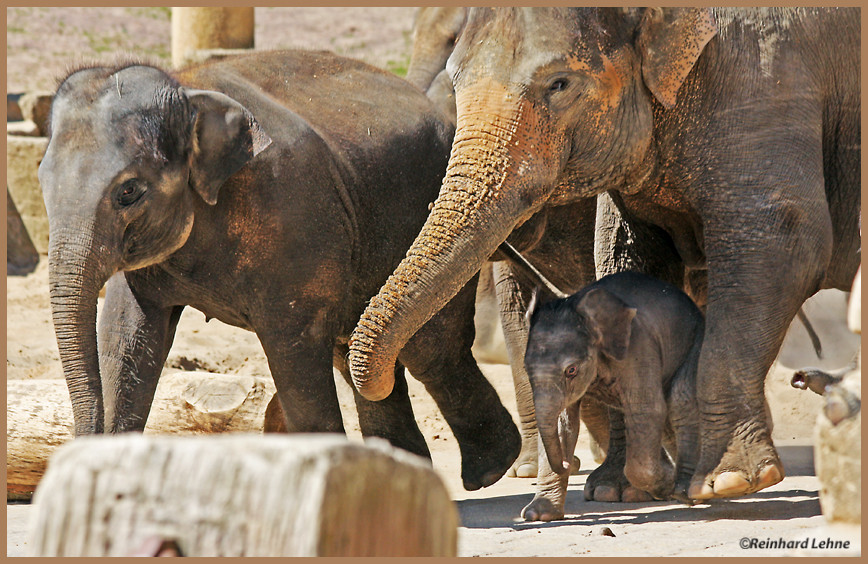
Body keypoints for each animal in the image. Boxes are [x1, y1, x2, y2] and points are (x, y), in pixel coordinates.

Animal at [39, 50, 516, 492]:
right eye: (42, 181)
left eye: (129, 192)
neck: (188, 89)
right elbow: (127, 335)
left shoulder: (292, 215)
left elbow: (294, 347)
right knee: (359, 348)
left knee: (428, 348)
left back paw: (490, 470)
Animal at [520, 270, 700, 524]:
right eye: (526, 369)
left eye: (571, 370)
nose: (568, 463)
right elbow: (562, 423)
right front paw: (538, 515)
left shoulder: (639, 346)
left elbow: (647, 409)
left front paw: (664, 486)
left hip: (694, 341)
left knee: (681, 401)